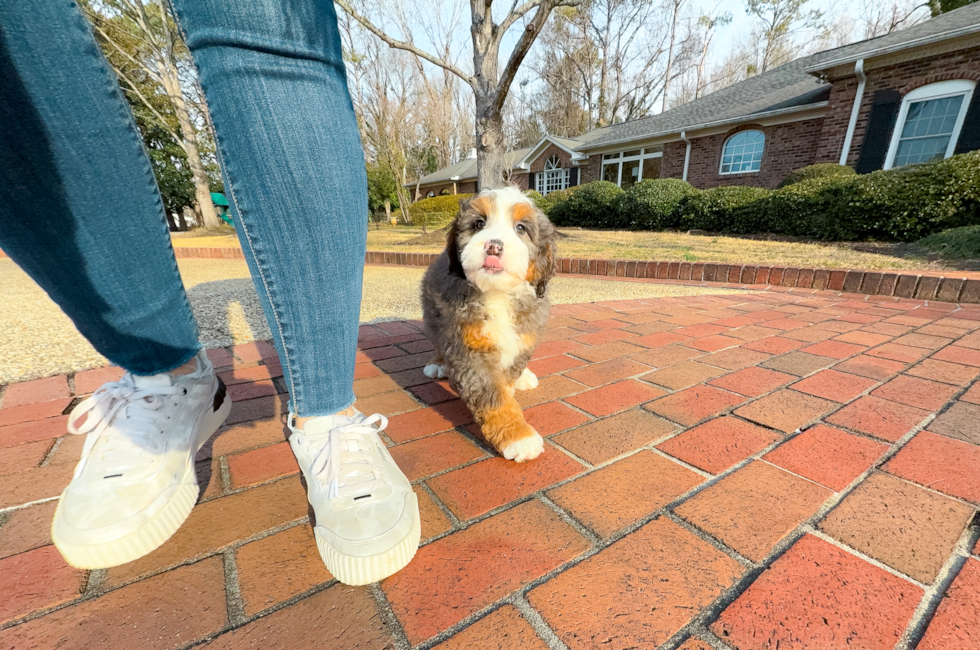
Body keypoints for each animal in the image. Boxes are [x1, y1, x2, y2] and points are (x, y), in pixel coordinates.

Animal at [422, 186, 560, 460]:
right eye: (478, 224)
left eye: (521, 228)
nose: (494, 246)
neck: (498, 293)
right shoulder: (469, 348)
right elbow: (494, 397)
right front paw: (519, 437)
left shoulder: (524, 333)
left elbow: (507, 377)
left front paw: (513, 389)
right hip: (432, 312)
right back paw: (437, 364)